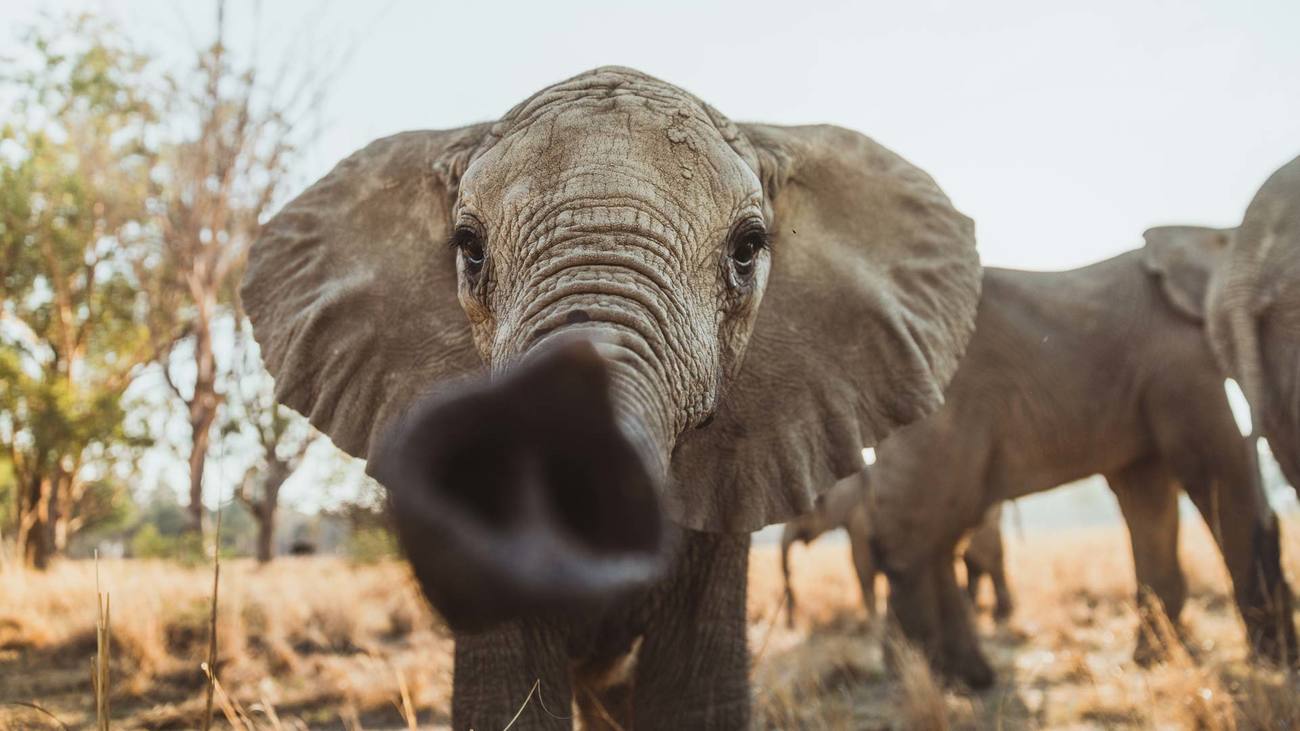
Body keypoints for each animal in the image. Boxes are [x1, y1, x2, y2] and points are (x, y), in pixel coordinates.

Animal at [774, 468, 1008, 624]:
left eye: (799, 515)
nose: (791, 625)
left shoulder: (860, 520)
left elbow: (861, 566)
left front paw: (874, 622)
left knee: (987, 560)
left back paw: (999, 617)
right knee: (975, 563)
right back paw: (975, 612)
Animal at [868, 245, 1294, 686]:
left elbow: (1147, 492)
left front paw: (1151, 662)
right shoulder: (1178, 357)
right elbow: (1214, 465)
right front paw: (1275, 664)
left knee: (937, 533)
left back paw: (954, 675)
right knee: (917, 534)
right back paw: (938, 676)